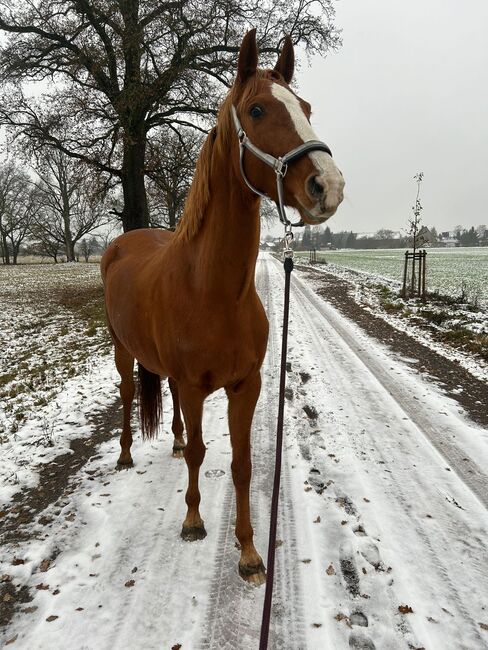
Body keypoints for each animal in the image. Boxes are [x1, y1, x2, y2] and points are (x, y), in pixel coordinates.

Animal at [100, 29, 344, 584]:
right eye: (256, 110)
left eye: (306, 107)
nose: (328, 186)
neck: (213, 291)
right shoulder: (194, 387)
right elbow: (199, 452)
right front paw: (193, 521)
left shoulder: (245, 385)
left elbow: (240, 463)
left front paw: (250, 551)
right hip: (123, 350)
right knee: (127, 394)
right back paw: (125, 454)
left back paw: (166, 441)